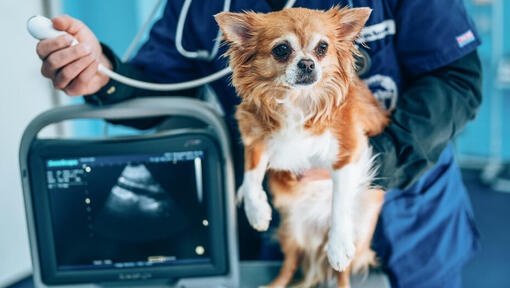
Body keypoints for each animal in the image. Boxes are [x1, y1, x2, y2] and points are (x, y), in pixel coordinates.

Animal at [214, 6, 386, 288]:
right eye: (282, 49)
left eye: (322, 48)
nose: (307, 63)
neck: (297, 98)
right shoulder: (255, 138)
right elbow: (250, 176)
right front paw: (256, 211)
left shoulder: (347, 151)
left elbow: (340, 201)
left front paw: (338, 245)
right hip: (291, 231)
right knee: (289, 265)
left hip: (360, 236)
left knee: (341, 273)